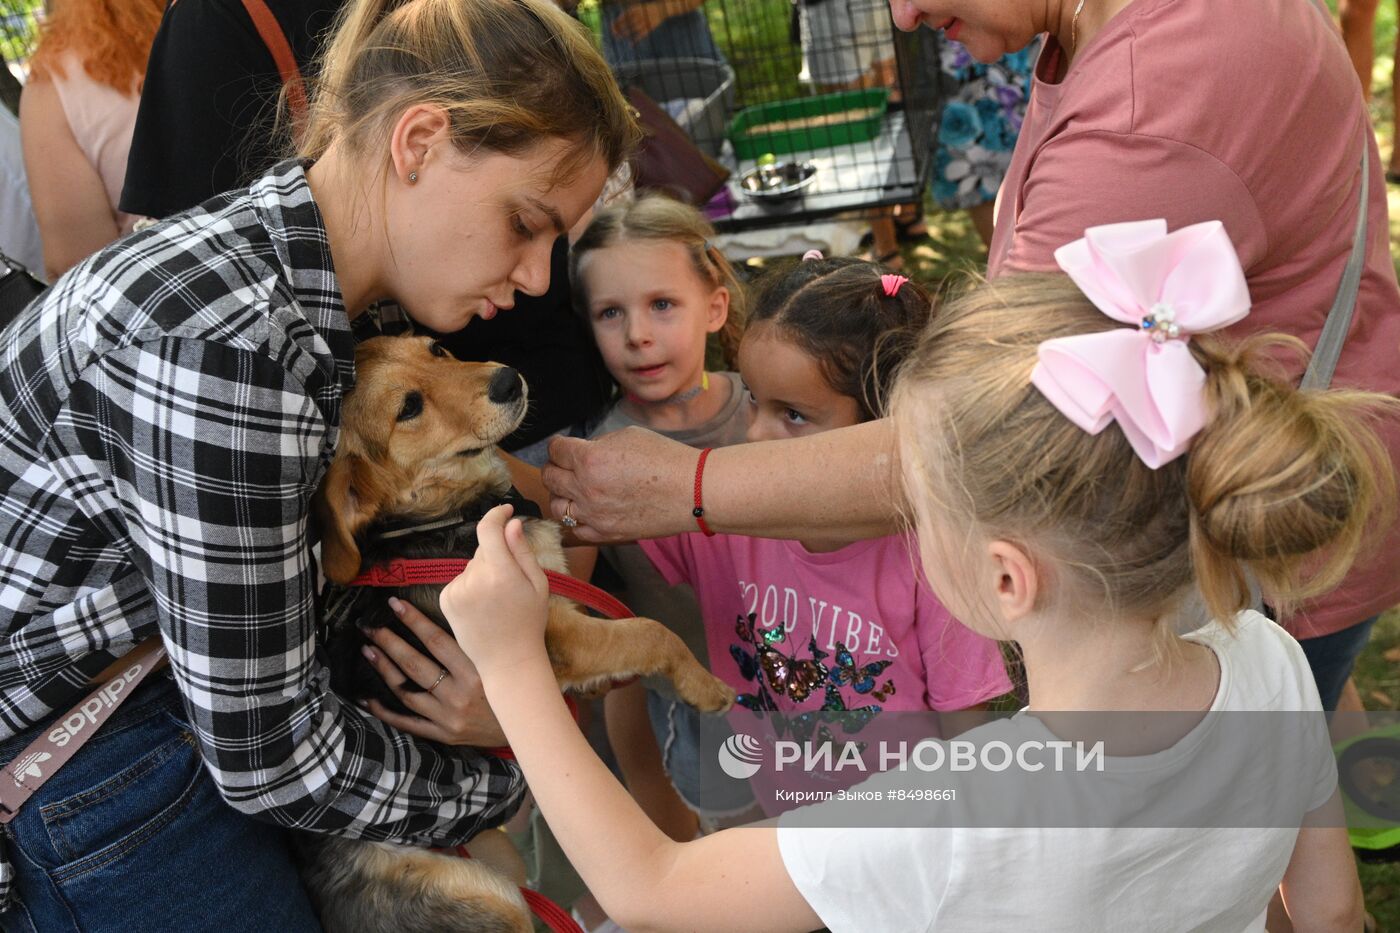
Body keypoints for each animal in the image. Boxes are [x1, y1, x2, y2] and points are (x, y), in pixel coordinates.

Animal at [305, 334, 733, 930]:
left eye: (436, 349)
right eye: (408, 408)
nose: (508, 379)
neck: (455, 515)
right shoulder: (554, 632)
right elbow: (651, 631)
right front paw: (704, 686)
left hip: (500, 859)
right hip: (493, 901)